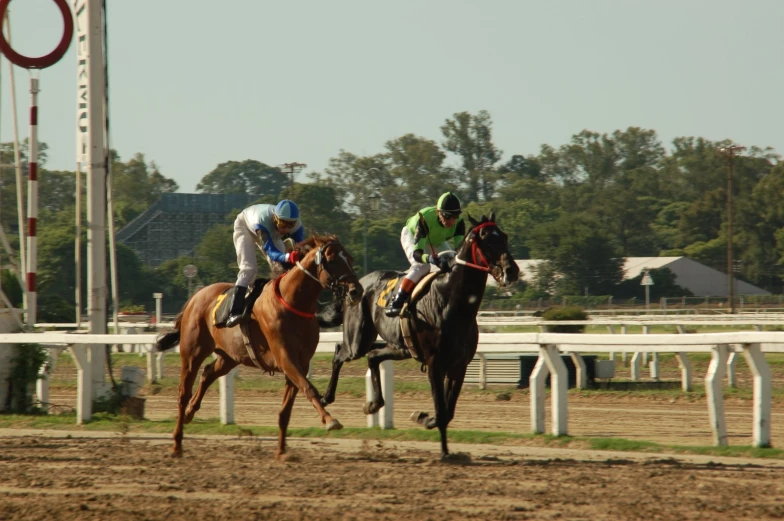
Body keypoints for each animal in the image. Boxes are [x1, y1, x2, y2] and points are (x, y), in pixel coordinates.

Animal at [156, 234, 364, 458]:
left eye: (350, 258)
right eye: (332, 260)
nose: (357, 291)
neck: (294, 303)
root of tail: (194, 298)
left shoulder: (301, 362)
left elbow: (285, 411)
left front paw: (281, 452)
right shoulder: (285, 358)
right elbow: (309, 388)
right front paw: (329, 419)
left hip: (229, 357)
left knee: (208, 373)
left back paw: (190, 412)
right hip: (192, 352)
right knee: (183, 392)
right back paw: (177, 443)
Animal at [316, 213, 516, 458]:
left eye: (504, 236)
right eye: (485, 239)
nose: (511, 270)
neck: (452, 303)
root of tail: (358, 284)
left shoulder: (459, 366)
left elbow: (447, 412)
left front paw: (431, 428)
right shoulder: (434, 364)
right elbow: (440, 411)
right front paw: (441, 446)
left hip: (399, 347)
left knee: (373, 356)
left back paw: (373, 404)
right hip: (357, 341)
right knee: (339, 353)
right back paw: (326, 398)